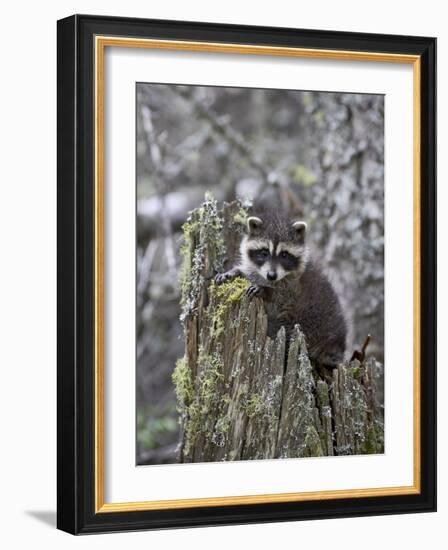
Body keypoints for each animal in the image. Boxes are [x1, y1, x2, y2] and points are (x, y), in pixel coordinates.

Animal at [215, 211, 348, 370]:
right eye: (264, 252)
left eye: (284, 254)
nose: (271, 275)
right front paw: (233, 272)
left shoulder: (294, 288)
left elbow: (282, 298)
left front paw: (266, 290)